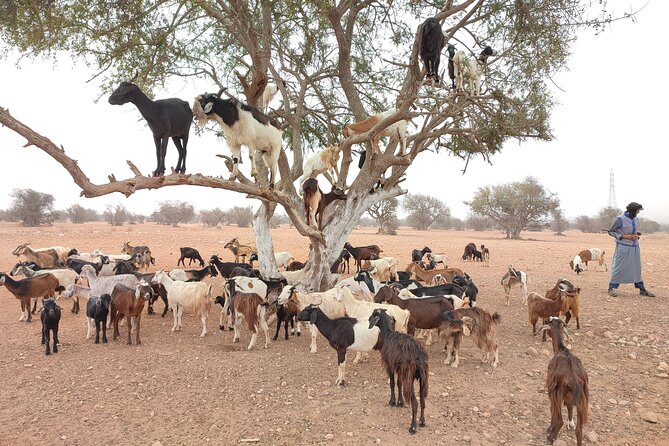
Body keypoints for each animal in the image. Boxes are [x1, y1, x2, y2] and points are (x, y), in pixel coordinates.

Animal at [537, 317, 589, 446]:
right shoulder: (569, 396)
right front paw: (570, 424)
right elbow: (569, 407)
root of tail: (575, 379)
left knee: (559, 419)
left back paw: (551, 437)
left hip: (558, 392)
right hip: (581, 399)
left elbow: (552, 410)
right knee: (579, 430)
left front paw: (550, 428)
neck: (561, 348)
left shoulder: (552, 388)